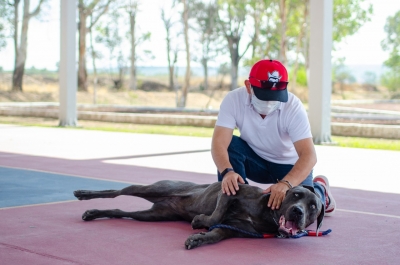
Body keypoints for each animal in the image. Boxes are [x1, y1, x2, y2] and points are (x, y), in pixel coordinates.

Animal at [74, 179, 324, 248]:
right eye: (295, 195)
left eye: (313, 207)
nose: (297, 212)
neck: (267, 216)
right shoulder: (230, 192)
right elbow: (216, 215)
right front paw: (200, 221)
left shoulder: (233, 230)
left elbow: (215, 234)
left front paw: (198, 239)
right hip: (153, 188)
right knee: (117, 192)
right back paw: (83, 194)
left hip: (151, 215)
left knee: (119, 210)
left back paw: (94, 213)